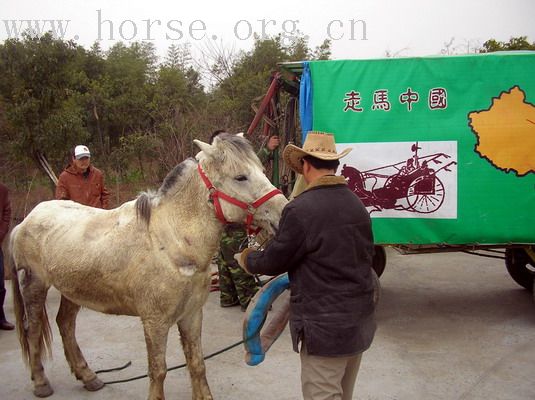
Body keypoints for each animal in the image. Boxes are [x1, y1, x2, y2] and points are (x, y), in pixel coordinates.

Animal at [7, 133, 288, 398]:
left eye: (262, 170)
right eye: (241, 177)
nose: (284, 214)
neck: (172, 243)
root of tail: (27, 220)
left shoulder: (192, 315)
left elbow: (197, 364)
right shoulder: (155, 322)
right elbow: (158, 371)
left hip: (72, 291)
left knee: (65, 325)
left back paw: (88, 376)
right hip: (35, 286)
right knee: (33, 330)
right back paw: (41, 383)